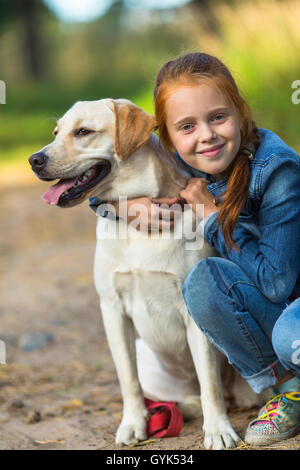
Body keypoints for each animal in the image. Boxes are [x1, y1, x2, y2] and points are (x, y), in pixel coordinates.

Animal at [28, 97, 268, 450]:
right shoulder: (112, 309)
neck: (138, 226)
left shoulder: (191, 312)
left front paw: (218, 430)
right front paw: (133, 424)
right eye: (56, 133)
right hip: (146, 351)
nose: (34, 160)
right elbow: (128, 380)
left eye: (83, 131)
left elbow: (209, 381)